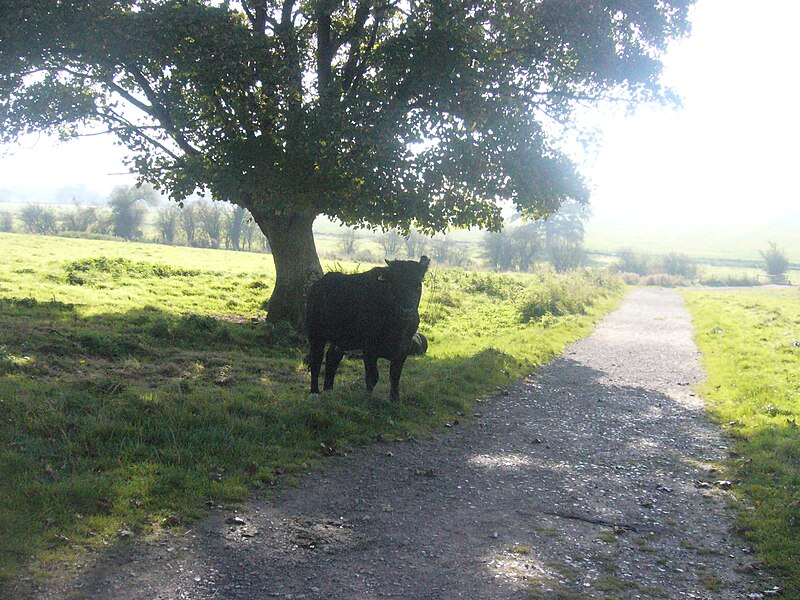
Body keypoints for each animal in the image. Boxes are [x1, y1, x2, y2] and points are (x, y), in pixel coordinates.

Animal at [306, 255, 432, 400]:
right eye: (394, 284)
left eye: (417, 284)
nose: (406, 310)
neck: (397, 326)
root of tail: (320, 283)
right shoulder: (369, 349)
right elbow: (373, 376)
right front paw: (368, 396)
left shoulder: (402, 350)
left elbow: (394, 376)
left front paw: (395, 399)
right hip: (316, 333)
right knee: (316, 359)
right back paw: (314, 392)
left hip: (341, 338)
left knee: (332, 357)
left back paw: (328, 390)